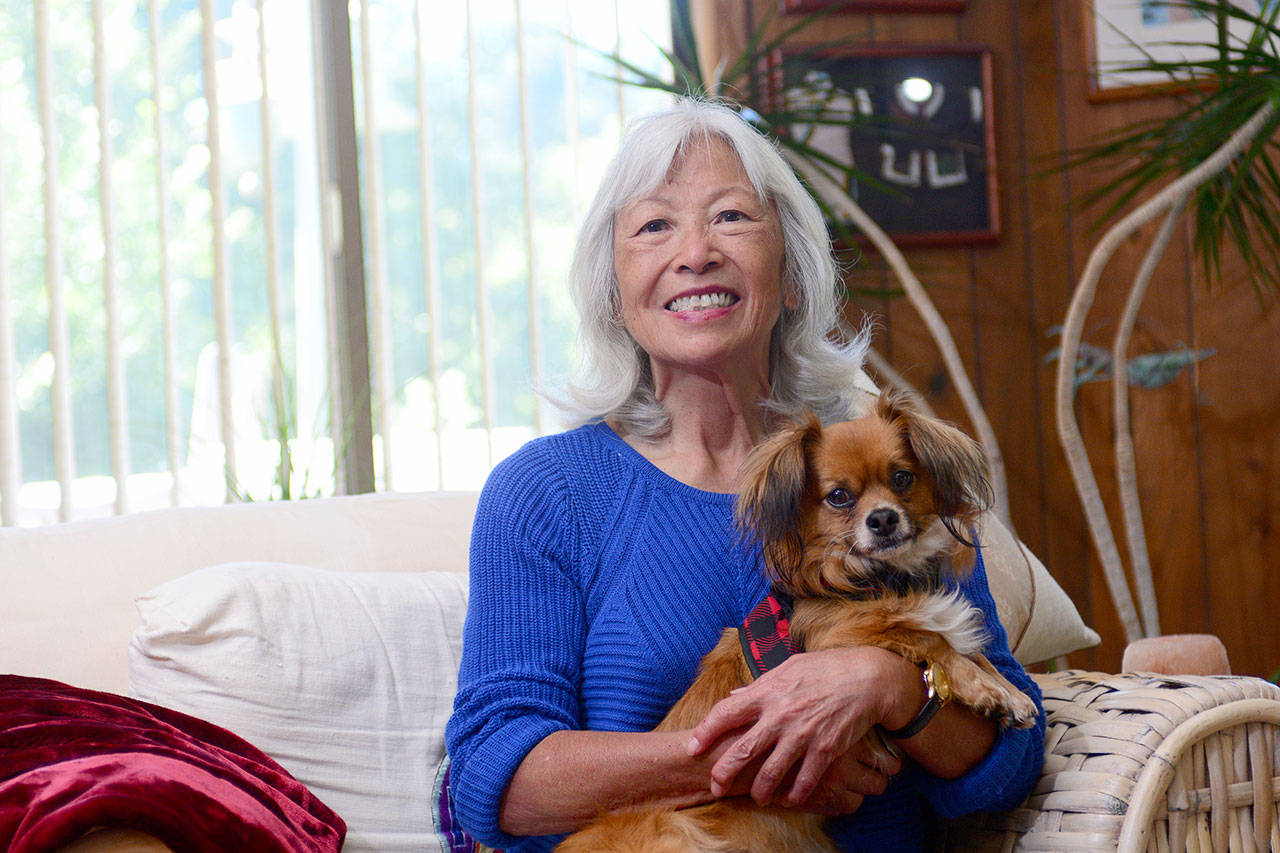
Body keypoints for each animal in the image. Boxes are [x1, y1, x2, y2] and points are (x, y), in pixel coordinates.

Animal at [560, 394, 1039, 850]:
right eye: (839, 496)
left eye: (903, 478)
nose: (883, 518)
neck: (885, 580)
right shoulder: (837, 643)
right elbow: (928, 639)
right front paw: (987, 692)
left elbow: (975, 653)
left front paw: (1010, 694)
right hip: (678, 829)